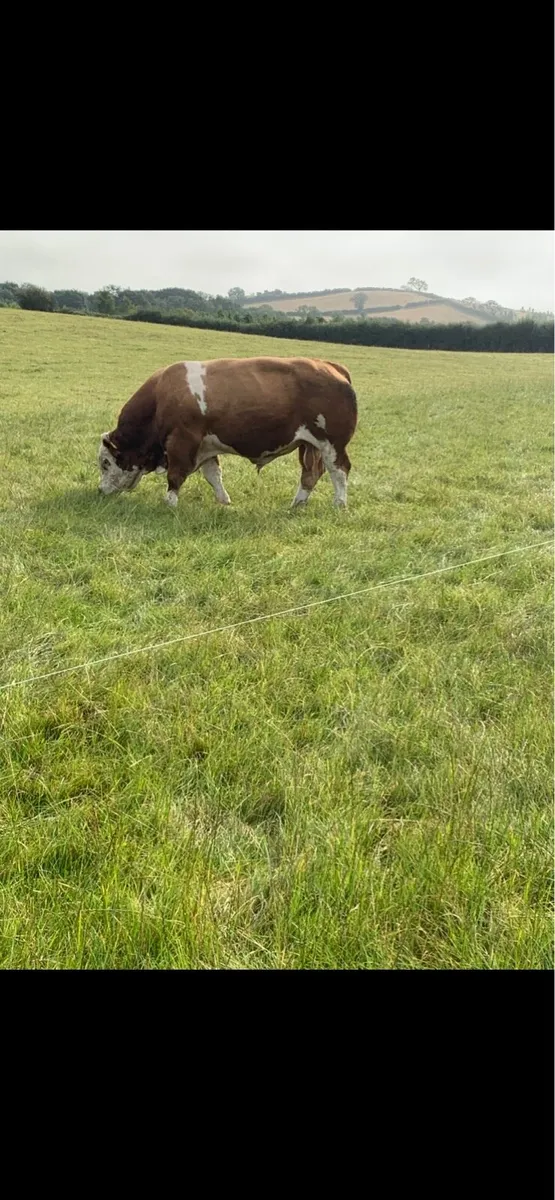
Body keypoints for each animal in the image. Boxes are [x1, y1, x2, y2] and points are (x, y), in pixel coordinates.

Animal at [97, 356, 357, 510]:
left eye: (105, 463)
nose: (100, 490)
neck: (161, 397)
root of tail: (333, 367)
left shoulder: (182, 442)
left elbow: (175, 475)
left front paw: (169, 503)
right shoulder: (206, 446)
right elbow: (213, 475)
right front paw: (224, 500)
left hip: (332, 445)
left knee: (339, 471)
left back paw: (339, 504)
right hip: (310, 445)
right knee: (311, 473)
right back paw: (297, 504)